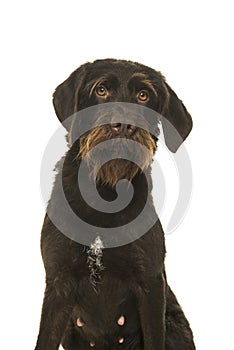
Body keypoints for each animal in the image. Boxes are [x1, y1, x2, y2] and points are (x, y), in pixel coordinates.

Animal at [35, 58, 196, 348]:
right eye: (101, 90)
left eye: (143, 95)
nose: (124, 125)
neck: (105, 194)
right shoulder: (58, 283)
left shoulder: (150, 285)